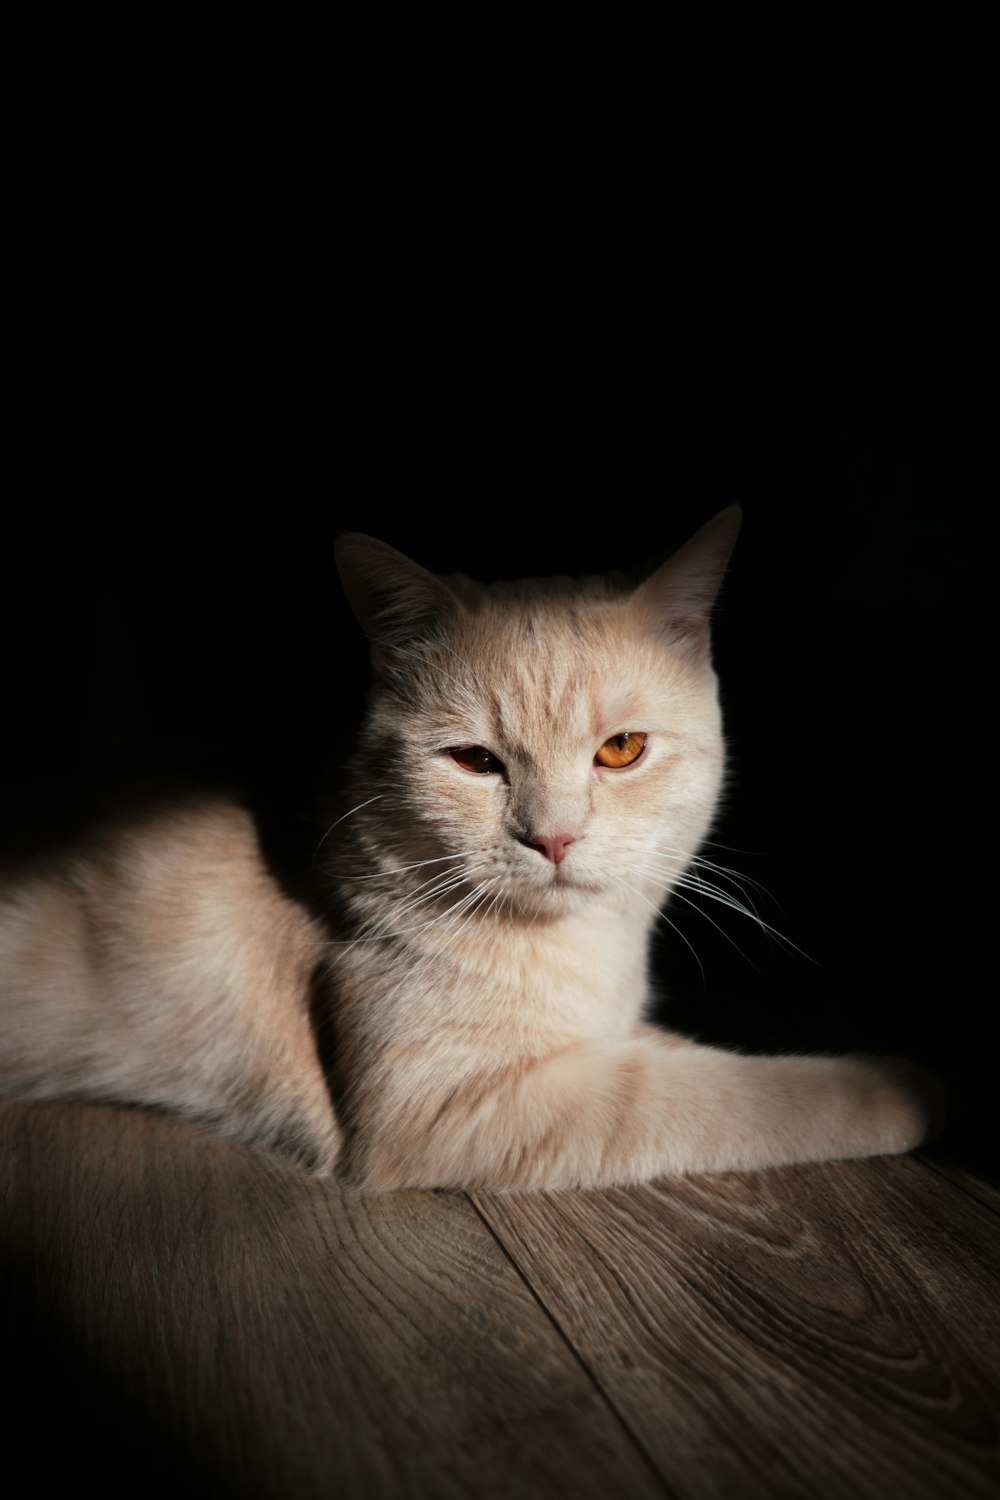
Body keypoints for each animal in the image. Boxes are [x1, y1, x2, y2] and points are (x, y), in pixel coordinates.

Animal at [0, 510, 947, 1188]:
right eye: (475, 761)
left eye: (620, 750)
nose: (553, 836)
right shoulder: (448, 1106)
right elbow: (716, 1091)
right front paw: (899, 1086)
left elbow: (685, 1058)